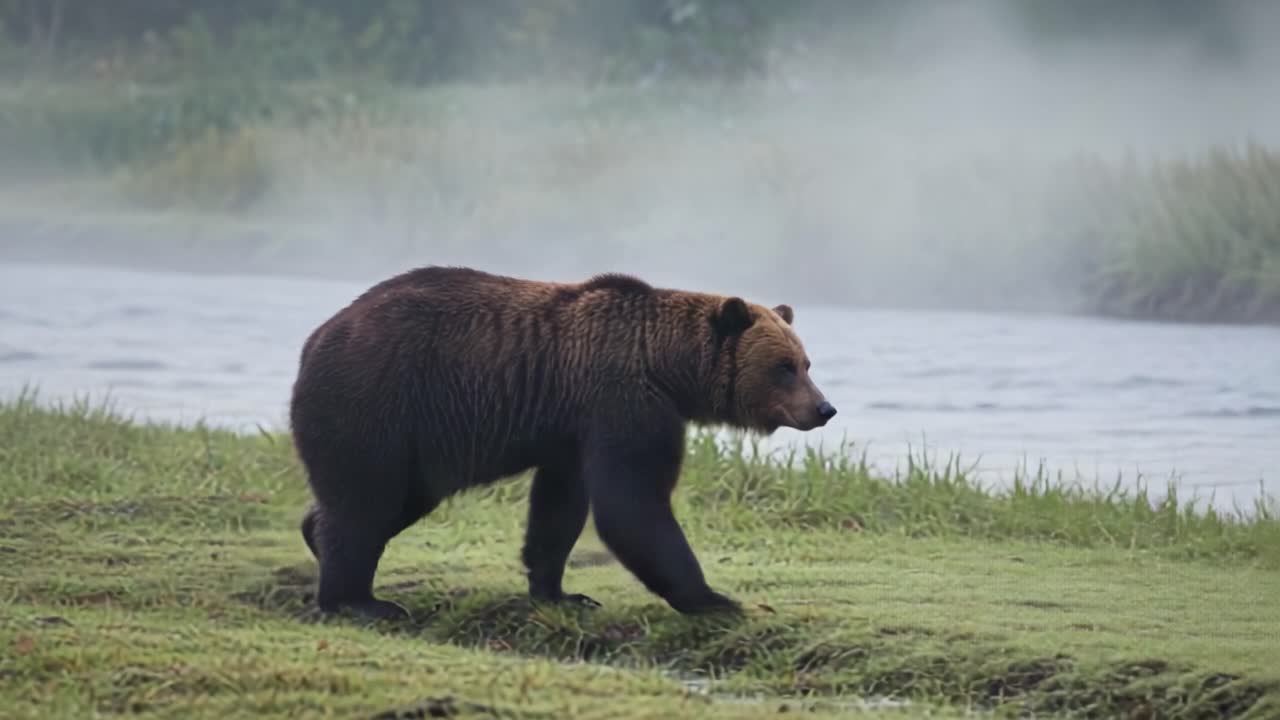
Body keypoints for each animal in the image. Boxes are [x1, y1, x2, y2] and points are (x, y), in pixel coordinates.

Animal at [289, 266, 836, 621]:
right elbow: (633, 504)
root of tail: (315, 337)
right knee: (365, 499)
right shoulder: (623, 404)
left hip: (415, 444)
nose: (823, 409)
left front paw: (560, 592)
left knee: (393, 500)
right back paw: (358, 601)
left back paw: (316, 538)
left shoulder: (572, 430)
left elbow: (560, 507)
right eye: (784, 367)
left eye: (806, 362)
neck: (666, 367)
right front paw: (714, 598)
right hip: (375, 401)